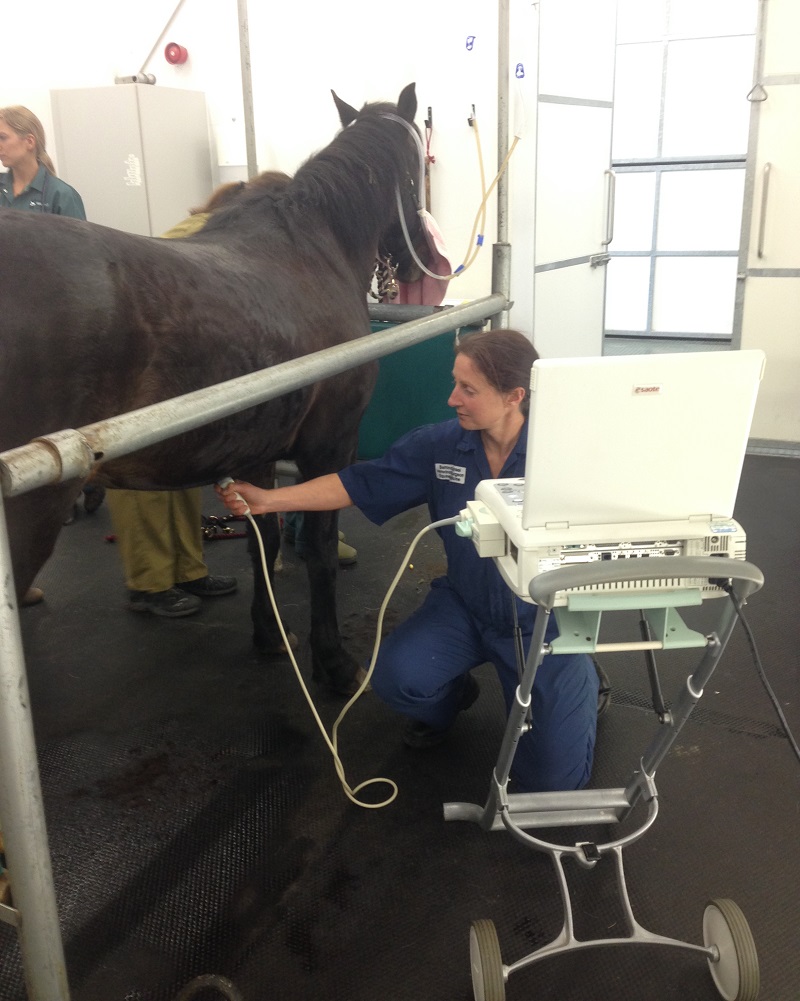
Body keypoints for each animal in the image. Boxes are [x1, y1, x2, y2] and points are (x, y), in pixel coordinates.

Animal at [0, 82, 431, 695]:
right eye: (418, 167)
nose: (420, 254)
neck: (312, 249)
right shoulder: (328, 446)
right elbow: (320, 551)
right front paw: (333, 661)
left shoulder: (257, 453)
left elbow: (264, 540)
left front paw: (271, 636)